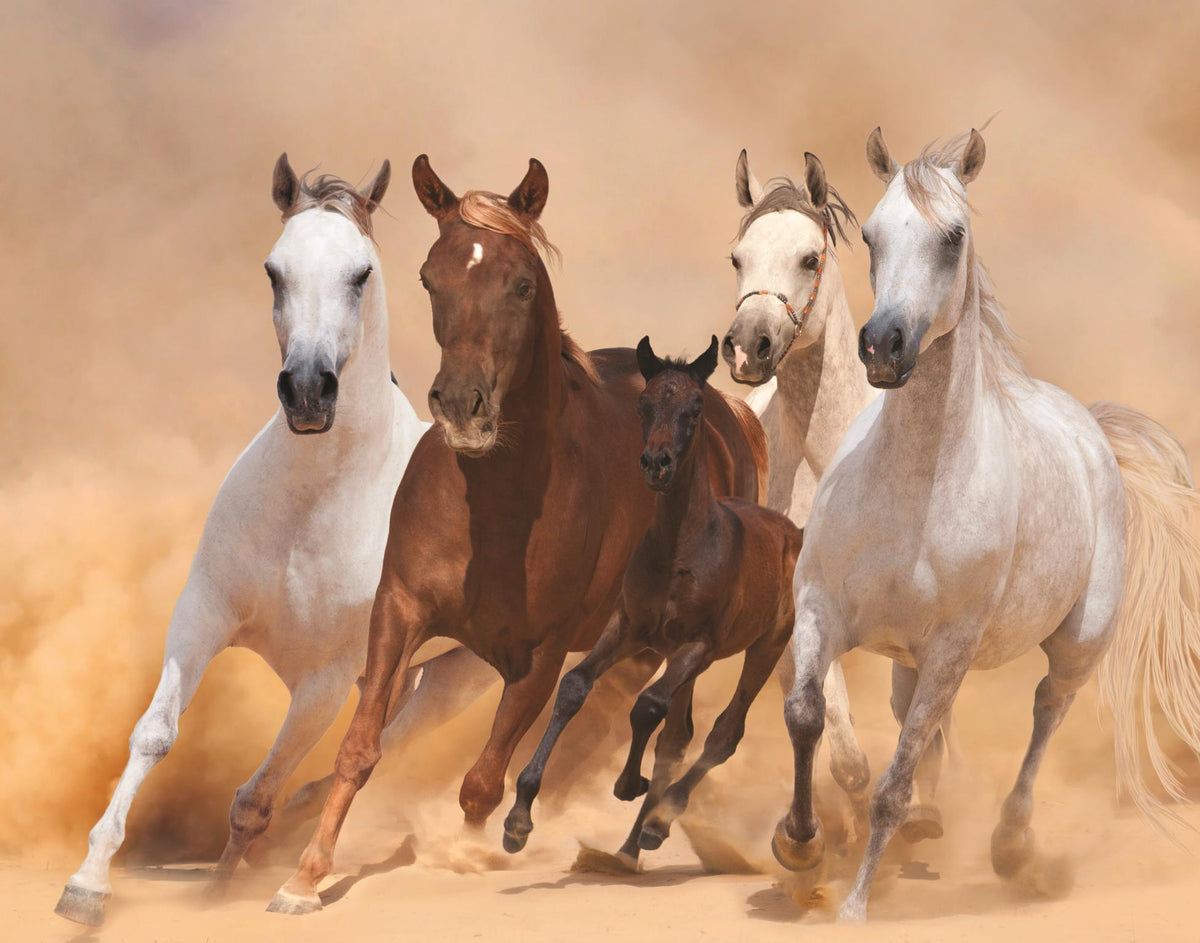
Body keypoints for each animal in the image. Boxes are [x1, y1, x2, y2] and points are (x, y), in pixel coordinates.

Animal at [54, 154, 499, 927]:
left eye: (361, 273)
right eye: (273, 270)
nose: (309, 392)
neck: (310, 509)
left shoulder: (323, 680)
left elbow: (256, 795)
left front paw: (236, 888)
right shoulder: (201, 614)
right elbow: (155, 734)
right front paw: (89, 883)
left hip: (464, 678)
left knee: (379, 748)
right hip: (412, 672)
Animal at [267, 156, 767, 915]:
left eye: (523, 284)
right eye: (429, 277)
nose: (462, 405)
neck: (496, 507)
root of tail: (727, 411)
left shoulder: (543, 653)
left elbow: (482, 781)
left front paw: (473, 852)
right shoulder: (400, 612)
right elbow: (359, 748)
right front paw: (303, 877)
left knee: (672, 728)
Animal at [502, 335, 803, 868]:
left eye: (696, 407)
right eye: (643, 404)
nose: (656, 464)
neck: (679, 551)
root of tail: (793, 532)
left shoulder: (697, 644)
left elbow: (646, 706)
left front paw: (628, 784)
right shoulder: (630, 629)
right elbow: (575, 687)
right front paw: (517, 820)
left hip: (765, 647)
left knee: (723, 731)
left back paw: (659, 821)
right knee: (678, 734)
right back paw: (630, 844)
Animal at [772, 127, 1200, 922]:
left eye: (954, 236)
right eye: (870, 235)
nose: (883, 345)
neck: (912, 491)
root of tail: (1091, 429)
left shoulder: (951, 648)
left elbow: (892, 782)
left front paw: (854, 906)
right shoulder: (820, 607)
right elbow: (807, 714)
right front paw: (799, 842)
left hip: (1076, 645)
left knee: (1046, 712)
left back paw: (1010, 846)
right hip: (910, 657)